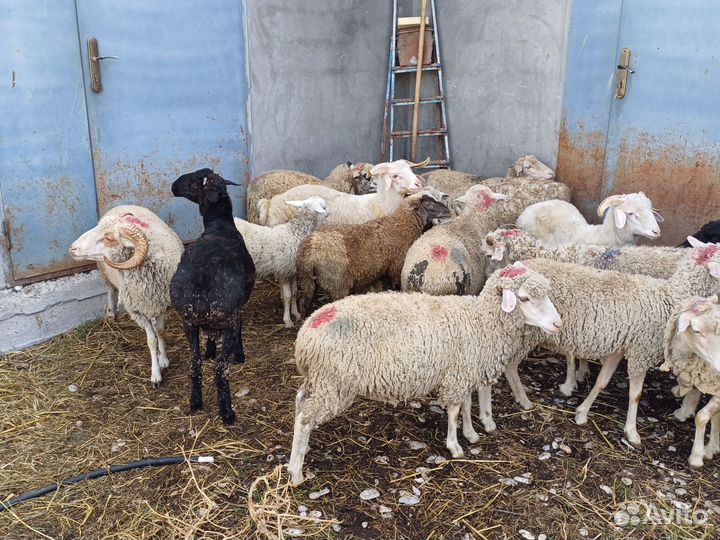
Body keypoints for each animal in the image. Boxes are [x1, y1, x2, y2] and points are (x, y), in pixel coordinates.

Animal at [69, 205, 183, 387]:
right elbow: (151, 341)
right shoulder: (137, 312)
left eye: (108, 238)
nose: (72, 248)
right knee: (110, 289)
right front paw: (156, 374)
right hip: (103, 270)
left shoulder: (162, 304)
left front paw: (163, 359)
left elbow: (160, 332)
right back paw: (110, 313)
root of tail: (122, 205)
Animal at [170, 168, 256, 425]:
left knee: (194, 364)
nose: (173, 186)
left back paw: (196, 402)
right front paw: (240, 355)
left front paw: (209, 350)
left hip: (188, 322)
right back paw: (227, 412)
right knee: (220, 370)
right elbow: (240, 330)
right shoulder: (238, 311)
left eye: (194, 181)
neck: (219, 225)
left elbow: (208, 337)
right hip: (227, 318)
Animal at [232, 196, 330, 328]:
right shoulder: (283, 271)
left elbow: (294, 293)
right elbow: (288, 296)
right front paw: (287, 320)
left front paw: (296, 314)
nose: (330, 212)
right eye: (324, 207)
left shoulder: (292, 271)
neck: (295, 234)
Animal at [286, 261, 562, 484]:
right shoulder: (458, 375)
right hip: (334, 384)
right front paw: (455, 446)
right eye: (524, 298)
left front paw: (471, 434)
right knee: (305, 419)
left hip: (319, 380)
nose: (558, 324)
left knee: (300, 404)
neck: (481, 320)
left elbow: (465, 405)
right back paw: (296, 472)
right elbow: (454, 411)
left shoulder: (463, 370)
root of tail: (306, 335)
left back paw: (297, 455)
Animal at [295, 190, 451, 314]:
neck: (401, 225)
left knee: (304, 302)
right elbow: (394, 285)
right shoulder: (395, 267)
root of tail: (309, 249)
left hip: (308, 281)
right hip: (336, 282)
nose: (448, 211)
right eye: (429, 204)